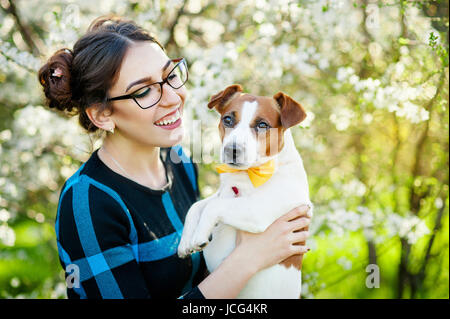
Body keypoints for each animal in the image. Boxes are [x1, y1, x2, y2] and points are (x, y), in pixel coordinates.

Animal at [177, 85, 312, 300]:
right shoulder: (223, 193)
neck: (247, 175)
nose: (232, 150)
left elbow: (213, 207)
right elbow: (196, 206)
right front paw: (185, 241)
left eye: (263, 125)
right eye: (228, 120)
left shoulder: (257, 212)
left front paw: (199, 234)